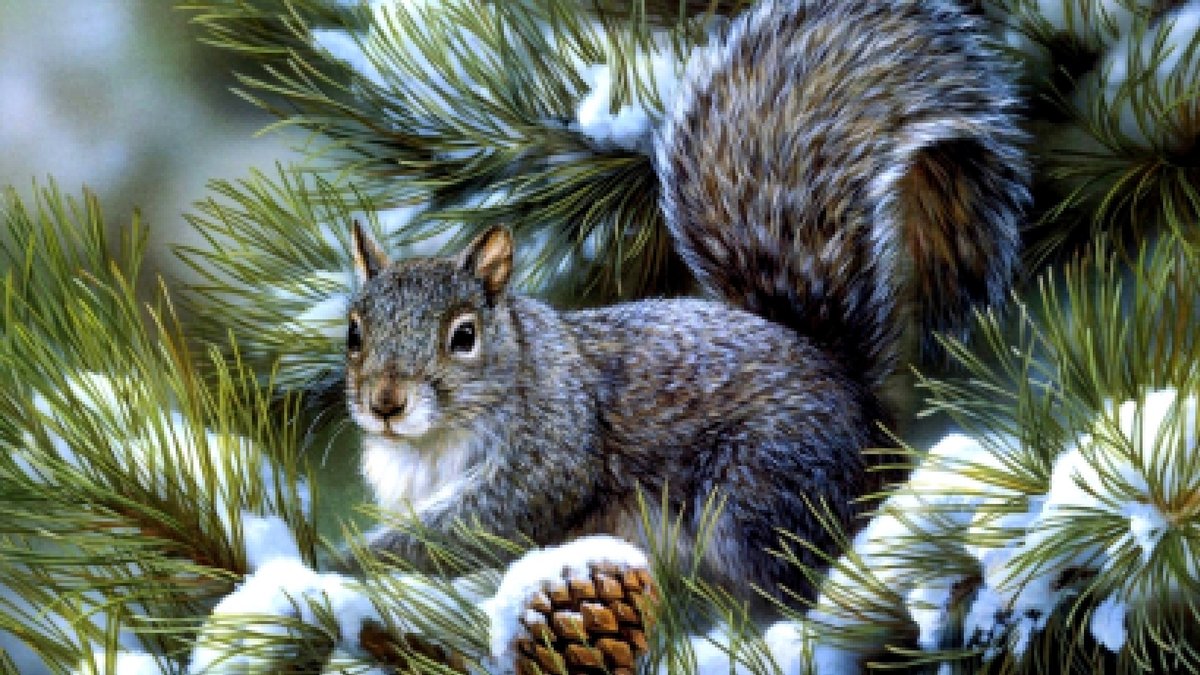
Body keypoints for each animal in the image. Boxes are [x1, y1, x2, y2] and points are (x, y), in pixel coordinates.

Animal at [343, 0, 1029, 613]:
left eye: (463, 335)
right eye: (353, 332)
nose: (385, 403)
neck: (430, 443)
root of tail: (861, 406)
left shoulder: (552, 448)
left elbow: (485, 521)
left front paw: (362, 557)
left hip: (763, 488)